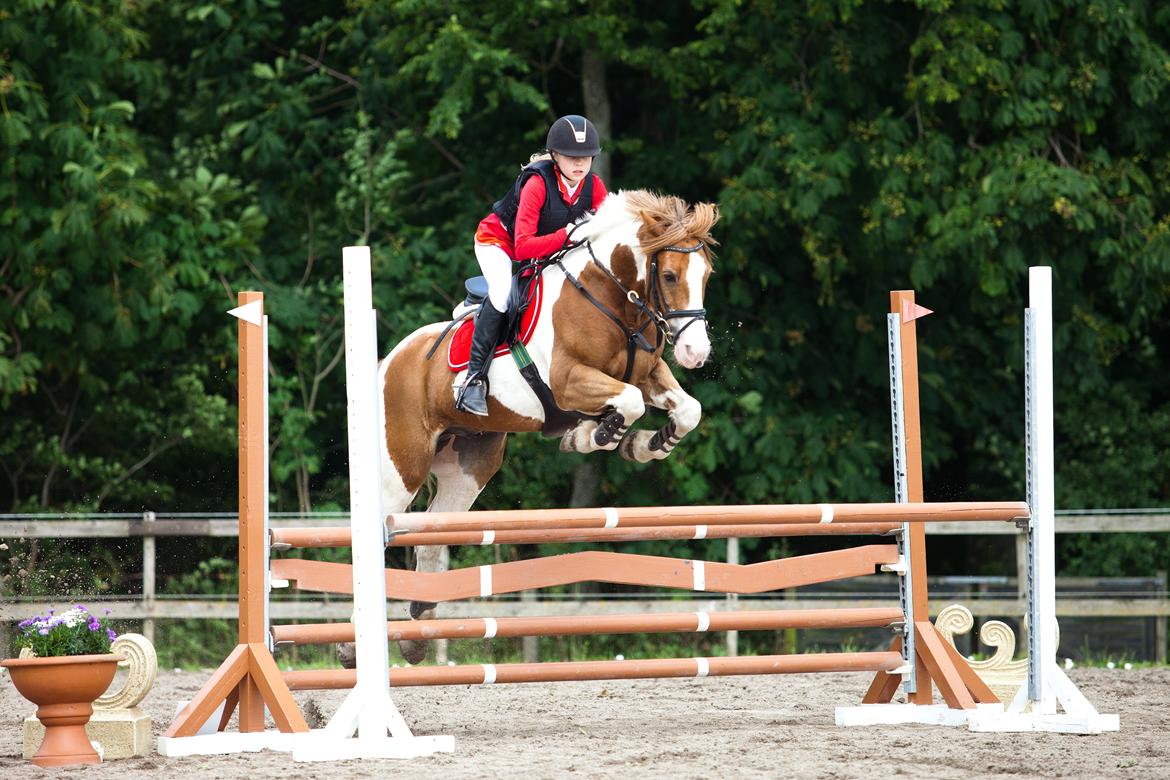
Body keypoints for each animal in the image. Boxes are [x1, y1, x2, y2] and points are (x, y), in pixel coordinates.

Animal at [367, 189, 711, 664]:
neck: (610, 297)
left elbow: (686, 408)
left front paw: (645, 444)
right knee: (381, 530)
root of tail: (392, 359)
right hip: (402, 469)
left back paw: (416, 633)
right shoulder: (569, 382)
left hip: (468, 468)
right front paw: (595, 435)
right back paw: (354, 644)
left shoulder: (648, 373)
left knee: (430, 538)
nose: (697, 352)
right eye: (671, 275)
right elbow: (628, 402)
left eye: (707, 275)